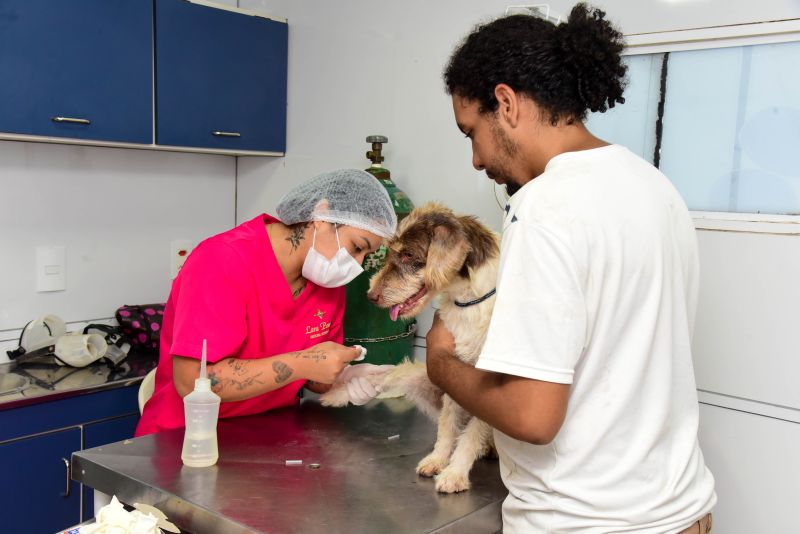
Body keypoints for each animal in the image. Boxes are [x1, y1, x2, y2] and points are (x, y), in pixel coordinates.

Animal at [320, 203, 496, 496]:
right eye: (390, 252)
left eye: (408, 254)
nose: (371, 296)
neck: (469, 301)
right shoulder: (449, 368)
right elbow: (447, 426)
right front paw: (437, 460)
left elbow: (470, 435)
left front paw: (455, 473)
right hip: (425, 375)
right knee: (389, 376)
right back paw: (339, 394)